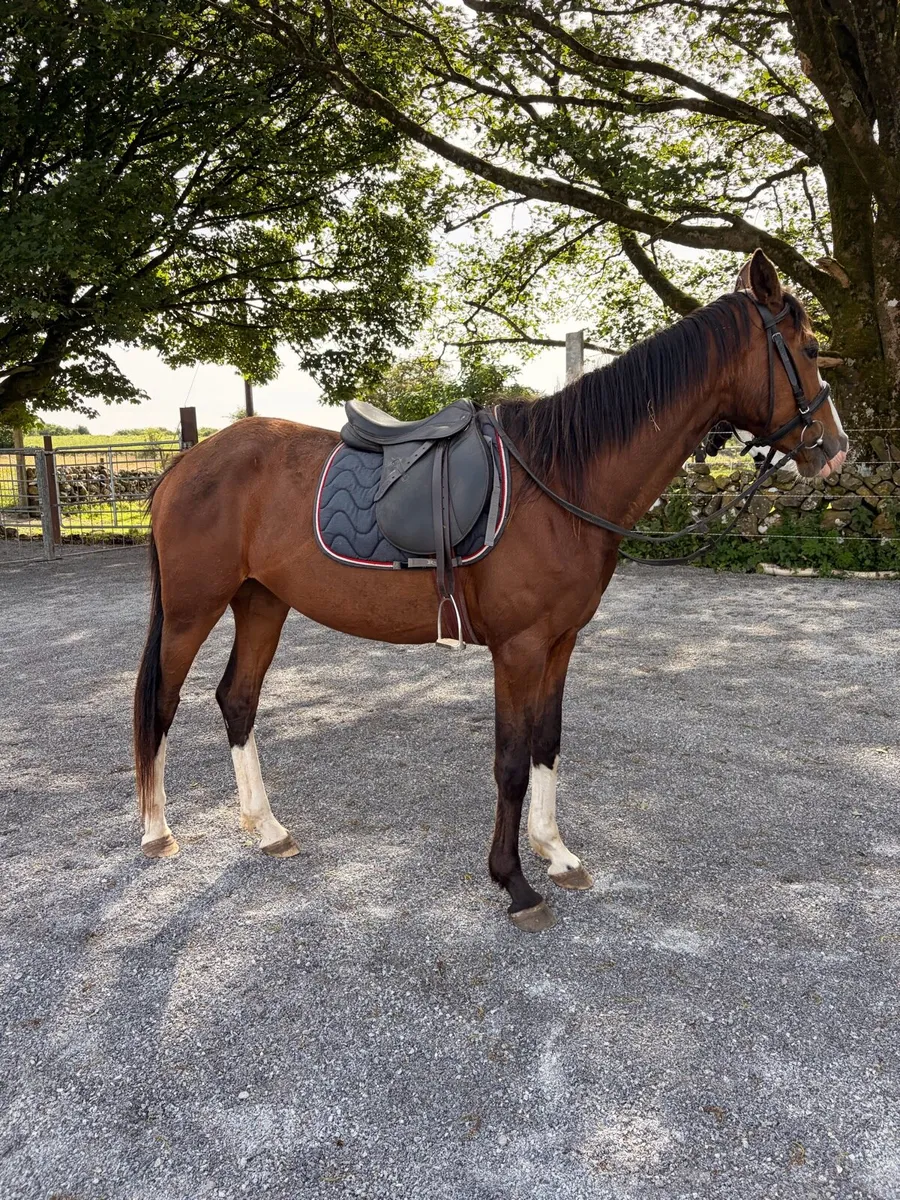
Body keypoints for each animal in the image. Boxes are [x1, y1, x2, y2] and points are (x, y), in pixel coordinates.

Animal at [133, 251, 848, 931]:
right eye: (810, 350)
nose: (836, 450)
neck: (561, 481)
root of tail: (185, 463)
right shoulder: (519, 647)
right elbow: (509, 761)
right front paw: (514, 883)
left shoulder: (560, 643)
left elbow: (546, 744)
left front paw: (556, 853)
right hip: (192, 612)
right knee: (162, 704)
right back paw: (157, 831)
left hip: (262, 602)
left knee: (238, 700)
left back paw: (267, 829)